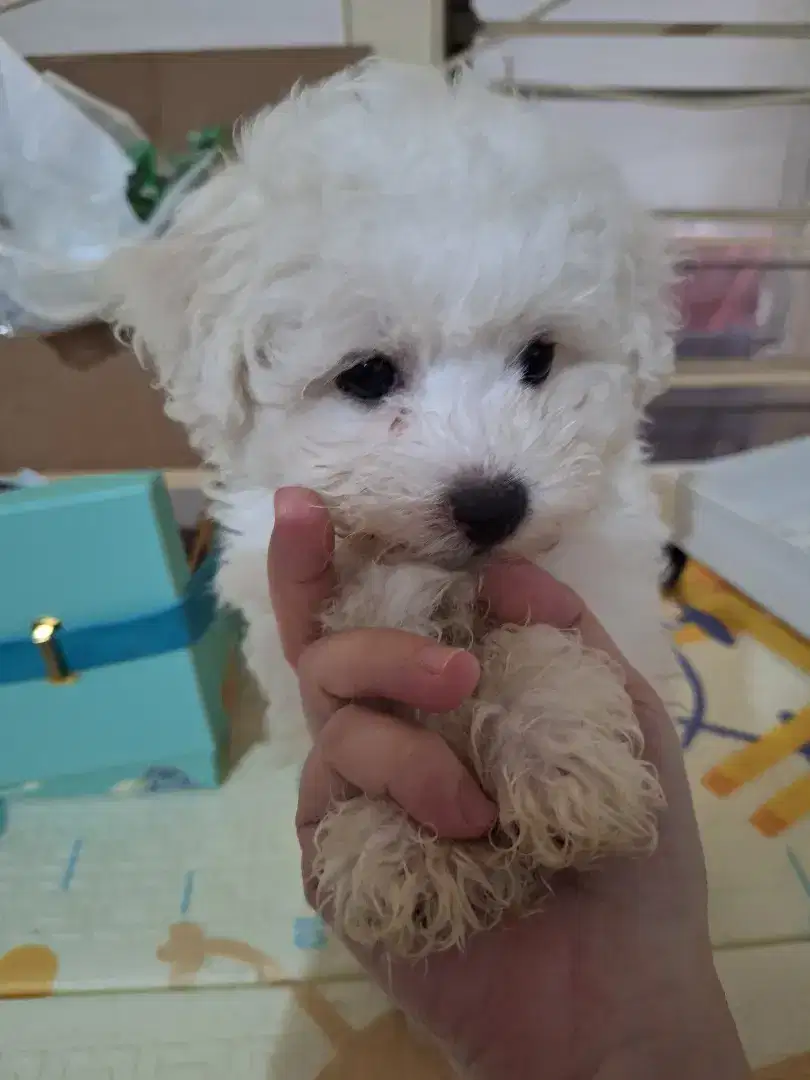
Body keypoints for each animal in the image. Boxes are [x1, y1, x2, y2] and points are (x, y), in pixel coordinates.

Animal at [108, 61, 678, 954]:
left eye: (540, 357)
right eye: (368, 375)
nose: (493, 504)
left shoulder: (598, 584)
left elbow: (543, 637)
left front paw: (565, 760)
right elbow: (376, 706)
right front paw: (401, 844)